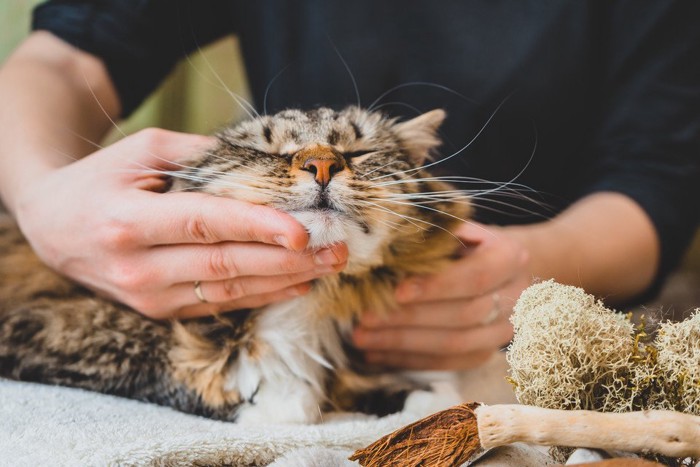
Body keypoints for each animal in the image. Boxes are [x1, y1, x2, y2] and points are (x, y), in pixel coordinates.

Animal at [1, 108, 470, 426]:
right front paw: (277, 401)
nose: (322, 164)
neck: (309, 301)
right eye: (263, 151)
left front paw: (427, 397)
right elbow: (152, 358)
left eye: (359, 152)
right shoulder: (42, 326)